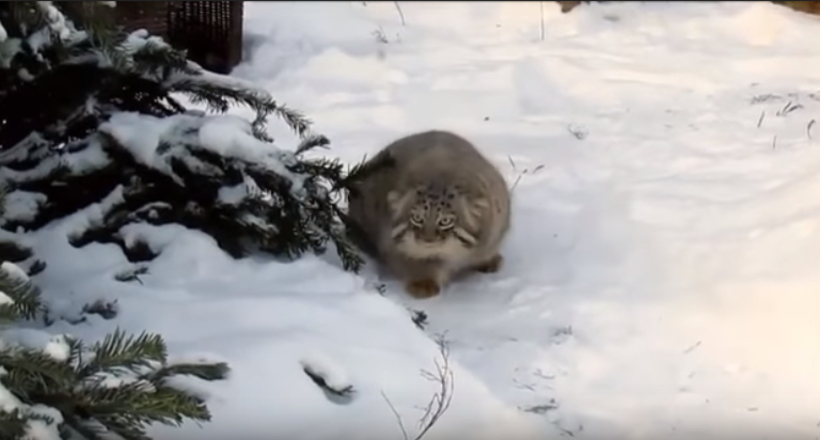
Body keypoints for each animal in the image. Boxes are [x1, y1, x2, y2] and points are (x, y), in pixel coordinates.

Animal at [342, 129, 510, 298]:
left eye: (445, 221)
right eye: (417, 218)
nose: (428, 241)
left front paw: (488, 259)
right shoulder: (394, 245)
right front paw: (423, 283)